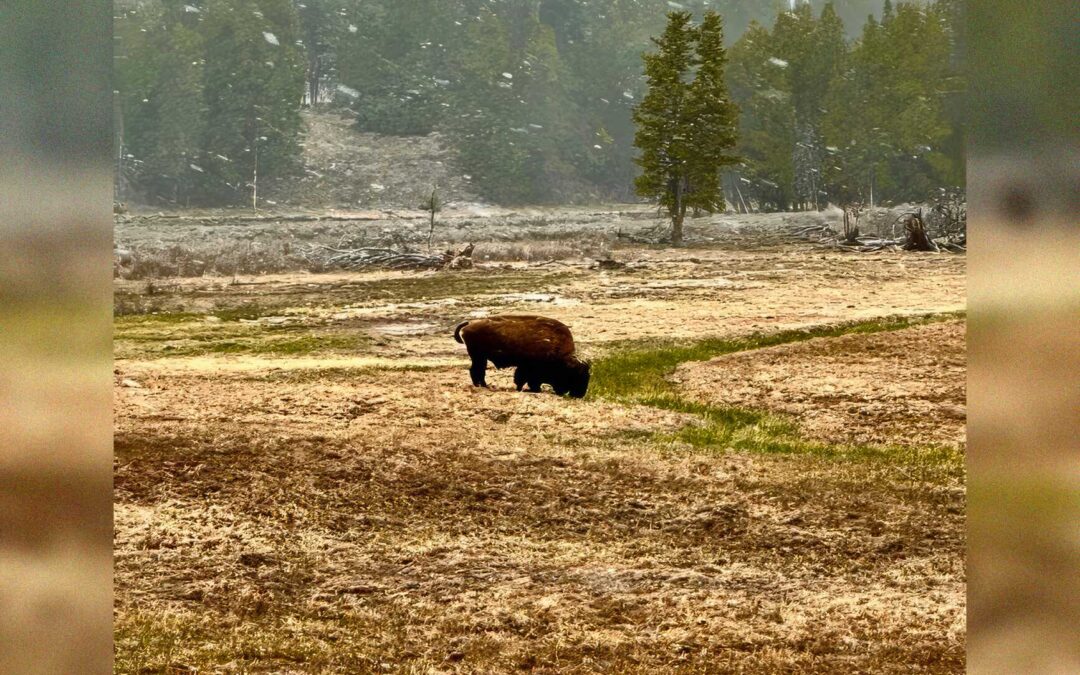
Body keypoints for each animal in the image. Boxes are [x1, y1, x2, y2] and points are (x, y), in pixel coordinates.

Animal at [453, 315, 596, 397]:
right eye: (577, 376)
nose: (580, 394)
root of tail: (468, 326)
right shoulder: (528, 369)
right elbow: (524, 380)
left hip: (480, 357)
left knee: (478, 371)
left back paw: (483, 385)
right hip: (478, 356)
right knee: (476, 371)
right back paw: (482, 386)